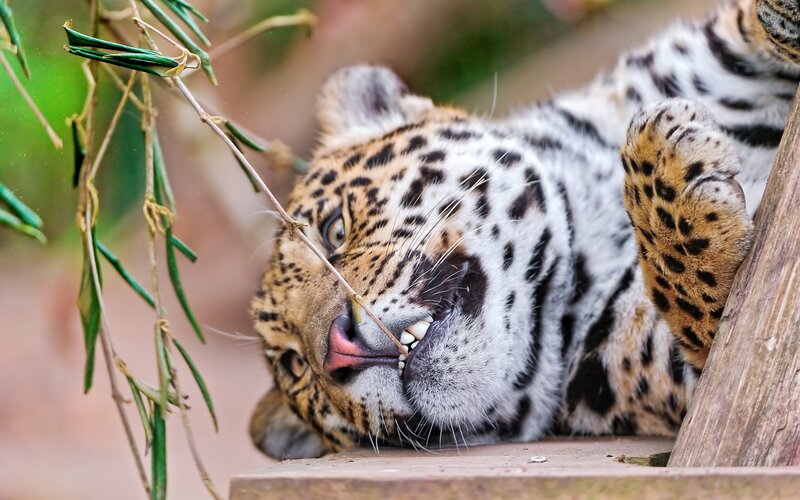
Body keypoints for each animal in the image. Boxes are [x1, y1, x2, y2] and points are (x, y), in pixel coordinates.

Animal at [249, 0, 800, 460]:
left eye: (334, 229)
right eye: (297, 368)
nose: (338, 350)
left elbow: (745, 24)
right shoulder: (692, 377)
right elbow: (709, 311)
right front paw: (661, 156)